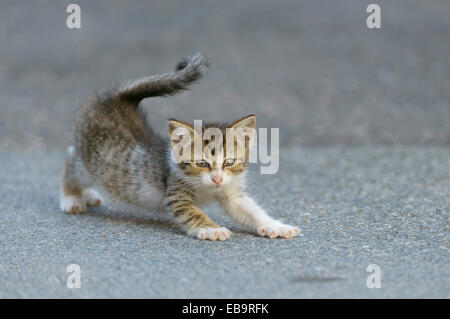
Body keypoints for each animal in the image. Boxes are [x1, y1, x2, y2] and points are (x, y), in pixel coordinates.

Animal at [59, 52, 298, 241]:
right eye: (202, 163)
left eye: (229, 162)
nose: (217, 179)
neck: (208, 189)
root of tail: (113, 98)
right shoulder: (176, 194)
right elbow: (193, 213)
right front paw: (212, 229)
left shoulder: (231, 193)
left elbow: (250, 210)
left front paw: (276, 226)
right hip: (89, 160)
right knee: (71, 161)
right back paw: (72, 197)